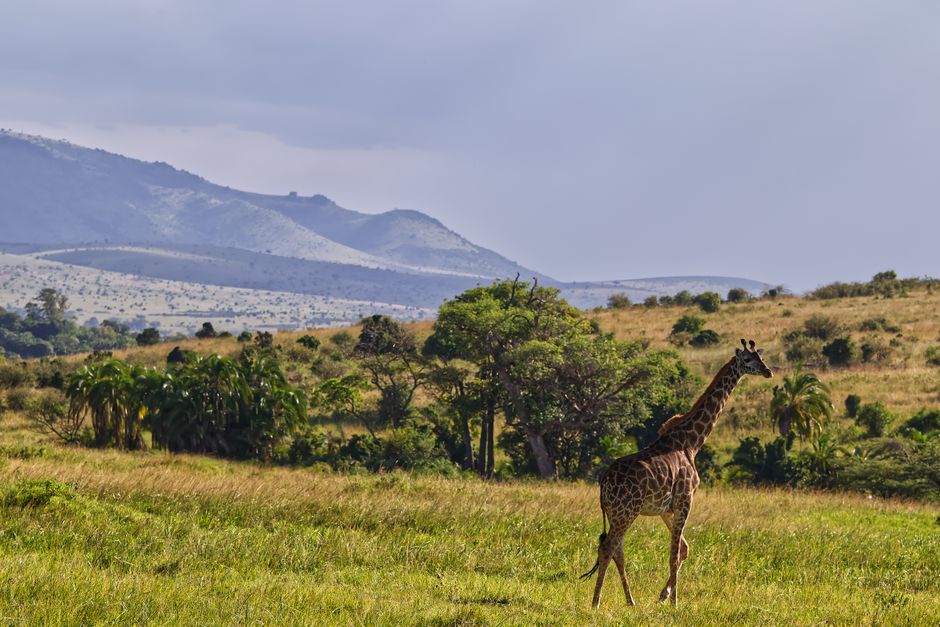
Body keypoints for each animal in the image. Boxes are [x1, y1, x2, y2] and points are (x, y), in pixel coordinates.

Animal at [582, 339, 773, 608]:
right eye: (747, 360)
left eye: (761, 358)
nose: (768, 372)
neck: (692, 442)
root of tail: (603, 483)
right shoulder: (685, 499)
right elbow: (674, 554)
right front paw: (674, 602)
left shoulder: (667, 508)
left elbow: (683, 549)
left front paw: (664, 595)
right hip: (626, 511)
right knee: (608, 547)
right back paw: (596, 602)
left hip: (617, 513)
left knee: (616, 549)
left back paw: (630, 601)